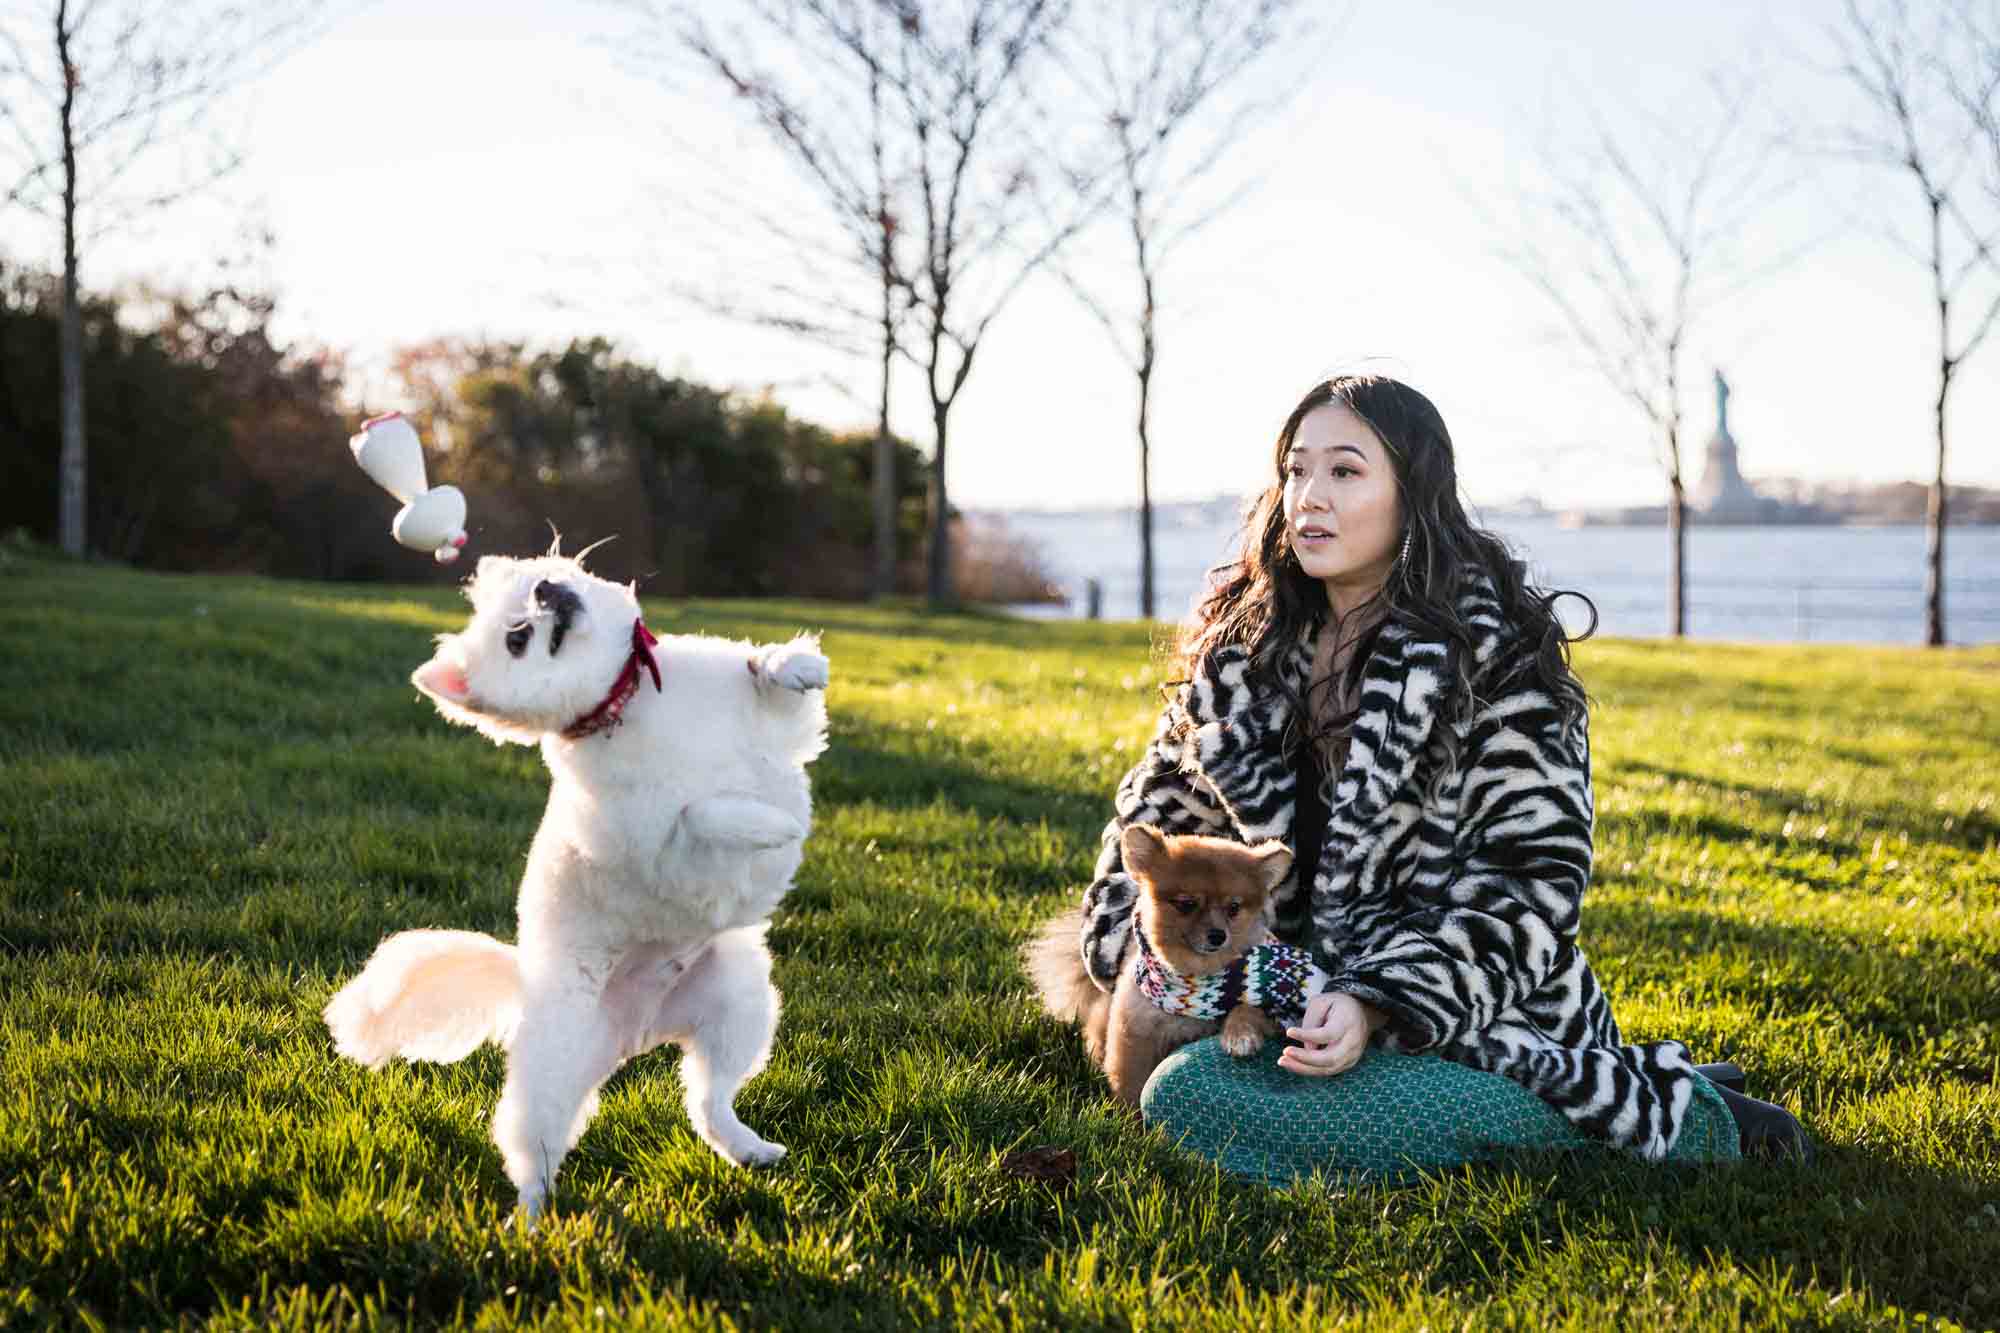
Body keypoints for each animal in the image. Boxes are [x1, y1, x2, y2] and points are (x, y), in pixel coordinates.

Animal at [324, 548, 824, 1216]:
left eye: (545, 577)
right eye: (516, 639)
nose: (546, 589)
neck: (631, 703)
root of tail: (639, 1032)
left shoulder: (776, 734)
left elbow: (765, 684)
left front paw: (791, 664)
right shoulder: (662, 846)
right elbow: (702, 811)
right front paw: (771, 826)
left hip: (738, 1001)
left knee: (708, 1100)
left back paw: (749, 1148)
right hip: (555, 1073)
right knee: (531, 1152)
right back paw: (531, 1220)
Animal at [1032, 820, 1296, 1096]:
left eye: (1233, 908)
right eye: (1187, 904)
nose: (1218, 935)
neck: (1195, 978)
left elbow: (1248, 1006)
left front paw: (1240, 1035)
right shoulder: (1134, 1034)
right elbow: (1130, 1084)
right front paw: (1126, 1110)